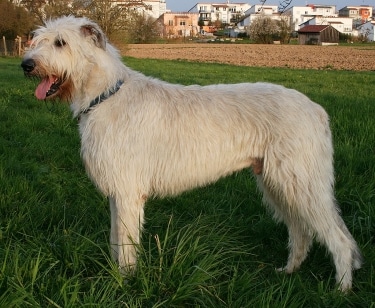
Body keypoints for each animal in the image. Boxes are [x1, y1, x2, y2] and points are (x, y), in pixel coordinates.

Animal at [20, 16, 362, 292]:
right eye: (37, 39)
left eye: (61, 42)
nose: (26, 65)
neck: (105, 95)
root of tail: (317, 110)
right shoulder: (119, 193)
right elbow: (117, 239)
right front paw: (117, 276)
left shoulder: (128, 192)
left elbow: (127, 245)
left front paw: (124, 283)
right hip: (279, 182)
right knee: (301, 231)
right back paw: (289, 270)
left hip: (300, 181)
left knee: (338, 238)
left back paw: (341, 289)